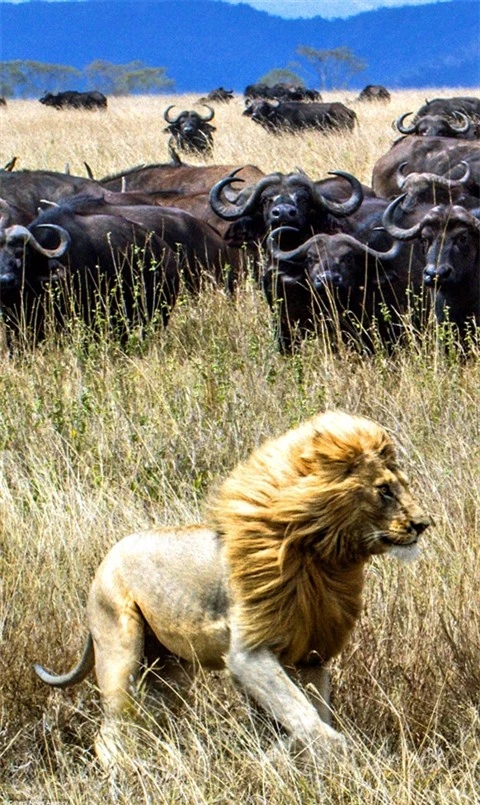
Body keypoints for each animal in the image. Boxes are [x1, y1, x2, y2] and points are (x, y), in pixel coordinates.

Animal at [34, 412, 432, 764]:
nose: (423, 524)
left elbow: (310, 717)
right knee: (110, 732)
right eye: (384, 491)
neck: (323, 559)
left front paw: (273, 754)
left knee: (151, 720)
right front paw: (297, 755)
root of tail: (105, 559)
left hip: (170, 668)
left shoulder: (312, 656)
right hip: (120, 651)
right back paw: (129, 774)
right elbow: (308, 721)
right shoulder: (248, 653)